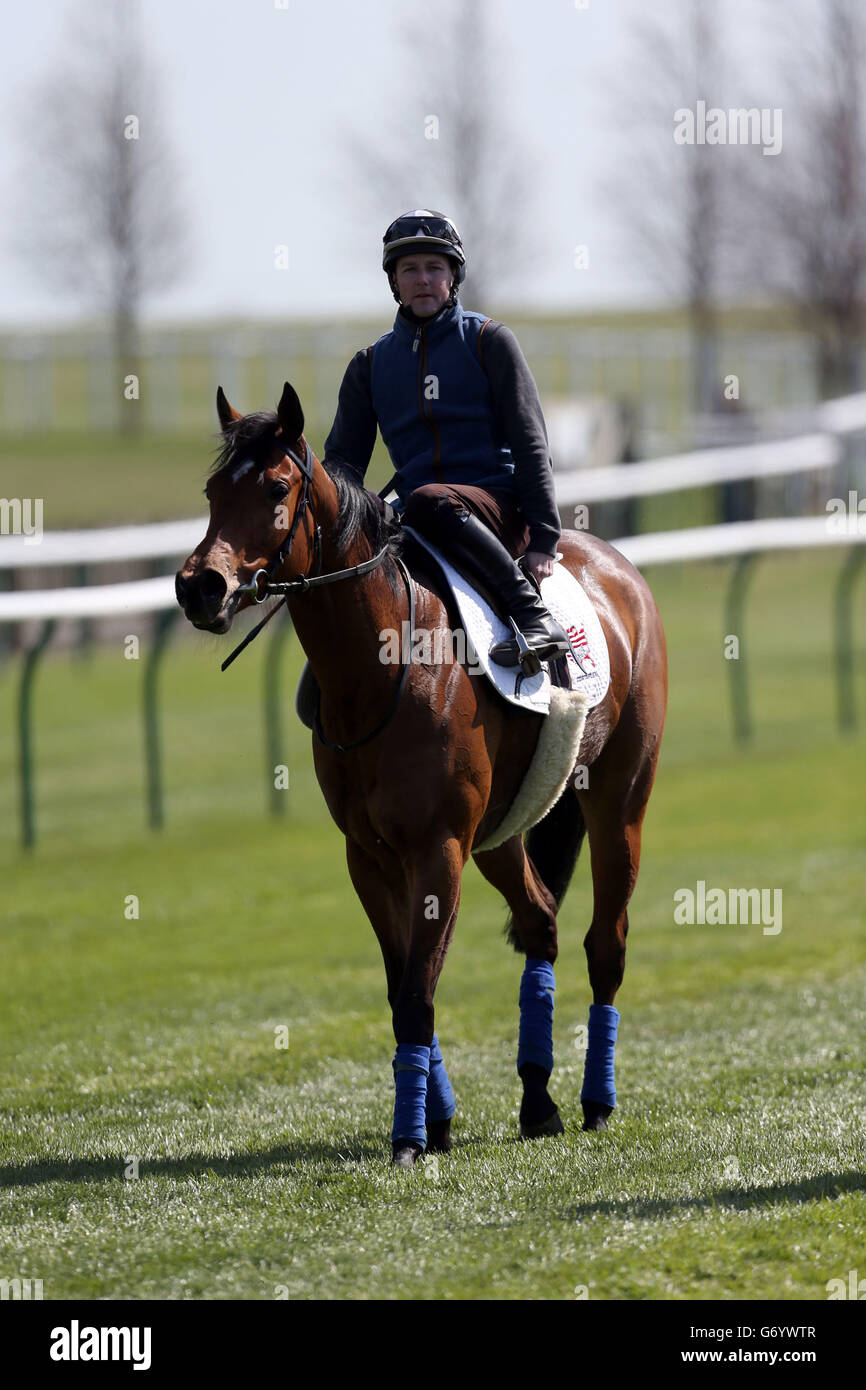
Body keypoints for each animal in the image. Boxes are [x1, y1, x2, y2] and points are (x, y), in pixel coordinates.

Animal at [173, 378, 667, 1162]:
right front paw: (435, 1121)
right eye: (214, 490)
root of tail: (617, 567)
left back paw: (596, 1099)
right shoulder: (371, 855)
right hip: (501, 834)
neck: (383, 667)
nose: (200, 587)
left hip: (620, 802)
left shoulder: (437, 848)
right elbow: (399, 982)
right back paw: (538, 1100)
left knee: (606, 944)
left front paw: (410, 1135)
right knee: (541, 924)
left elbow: (416, 992)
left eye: (277, 488)